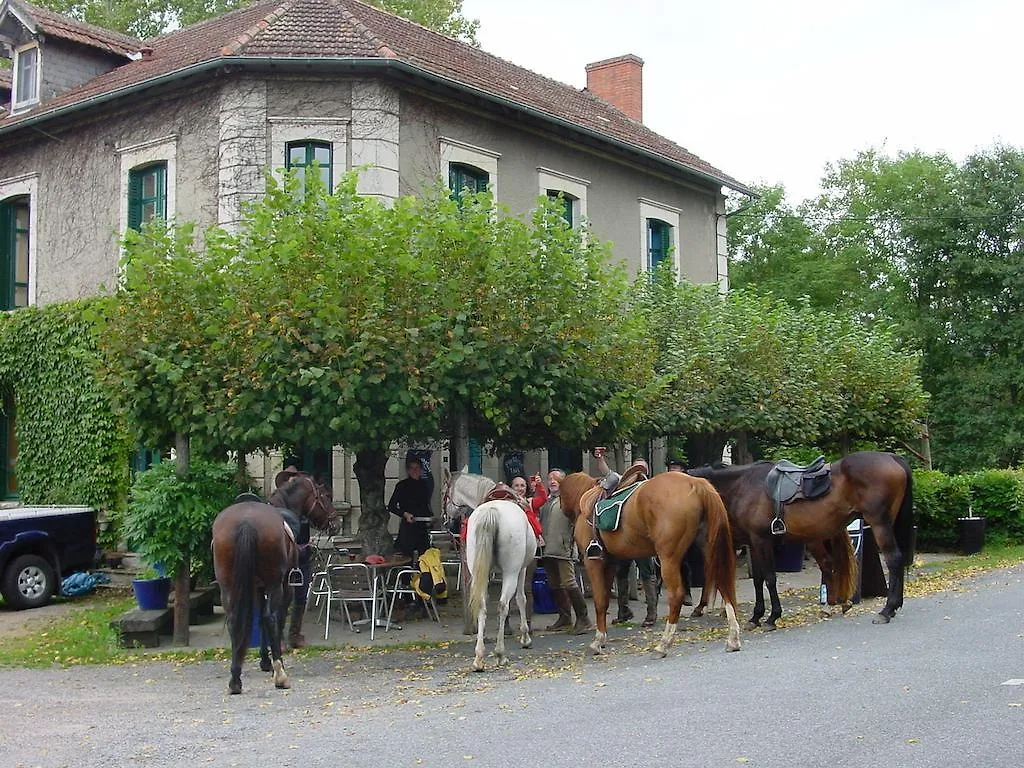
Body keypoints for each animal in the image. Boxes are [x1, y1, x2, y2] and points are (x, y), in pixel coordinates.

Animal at [209, 473, 337, 696]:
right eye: (324, 496)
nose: (336, 522)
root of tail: (246, 521)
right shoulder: (284, 584)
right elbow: (276, 618)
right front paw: (274, 660)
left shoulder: (257, 587)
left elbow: (259, 619)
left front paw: (264, 660)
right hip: (275, 584)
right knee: (270, 617)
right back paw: (280, 674)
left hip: (228, 586)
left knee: (235, 620)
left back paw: (235, 678)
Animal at [442, 468, 536, 671]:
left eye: (443, 492)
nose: (445, 520)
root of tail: (492, 512)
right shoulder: (521, 569)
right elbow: (521, 599)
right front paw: (525, 637)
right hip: (510, 571)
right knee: (503, 604)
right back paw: (500, 654)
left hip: (482, 572)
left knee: (482, 604)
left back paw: (479, 657)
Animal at [557, 473, 741, 659]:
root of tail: (694, 483)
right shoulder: (610, 564)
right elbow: (605, 600)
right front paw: (602, 639)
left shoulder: (594, 562)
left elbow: (600, 601)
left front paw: (596, 642)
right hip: (711, 550)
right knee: (724, 586)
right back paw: (733, 639)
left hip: (668, 559)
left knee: (677, 595)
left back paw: (663, 644)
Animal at [688, 450, 913, 630]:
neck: (742, 486)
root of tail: (892, 458)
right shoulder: (753, 543)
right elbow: (758, 580)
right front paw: (756, 617)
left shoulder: (761, 541)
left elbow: (769, 578)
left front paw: (772, 617)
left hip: (880, 524)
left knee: (894, 559)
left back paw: (887, 610)